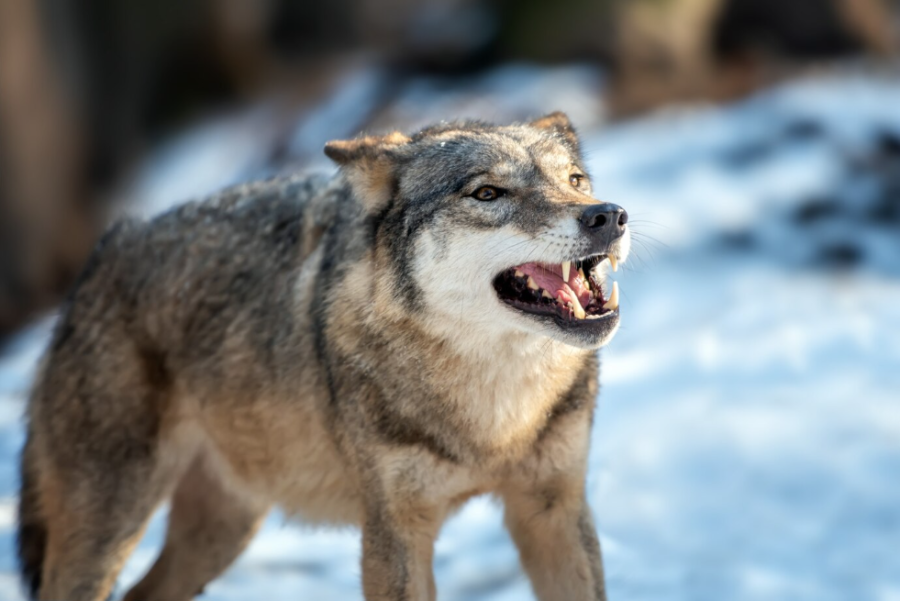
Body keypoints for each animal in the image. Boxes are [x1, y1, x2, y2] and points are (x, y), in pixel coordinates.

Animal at [15, 112, 632, 600]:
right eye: (487, 194)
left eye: (575, 180)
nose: (607, 214)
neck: (495, 418)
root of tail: (102, 254)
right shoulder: (393, 532)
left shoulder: (555, 511)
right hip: (109, 529)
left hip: (222, 530)